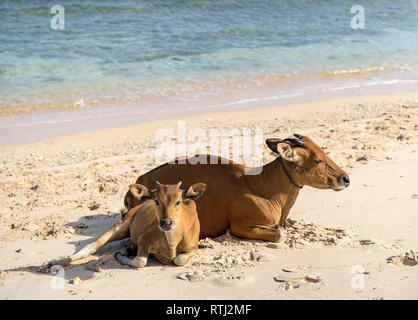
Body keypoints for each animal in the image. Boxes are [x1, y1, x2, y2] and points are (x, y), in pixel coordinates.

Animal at [124, 135, 350, 242]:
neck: (264, 188)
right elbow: (280, 234)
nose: (345, 178)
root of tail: (139, 180)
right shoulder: (240, 228)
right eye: (318, 159)